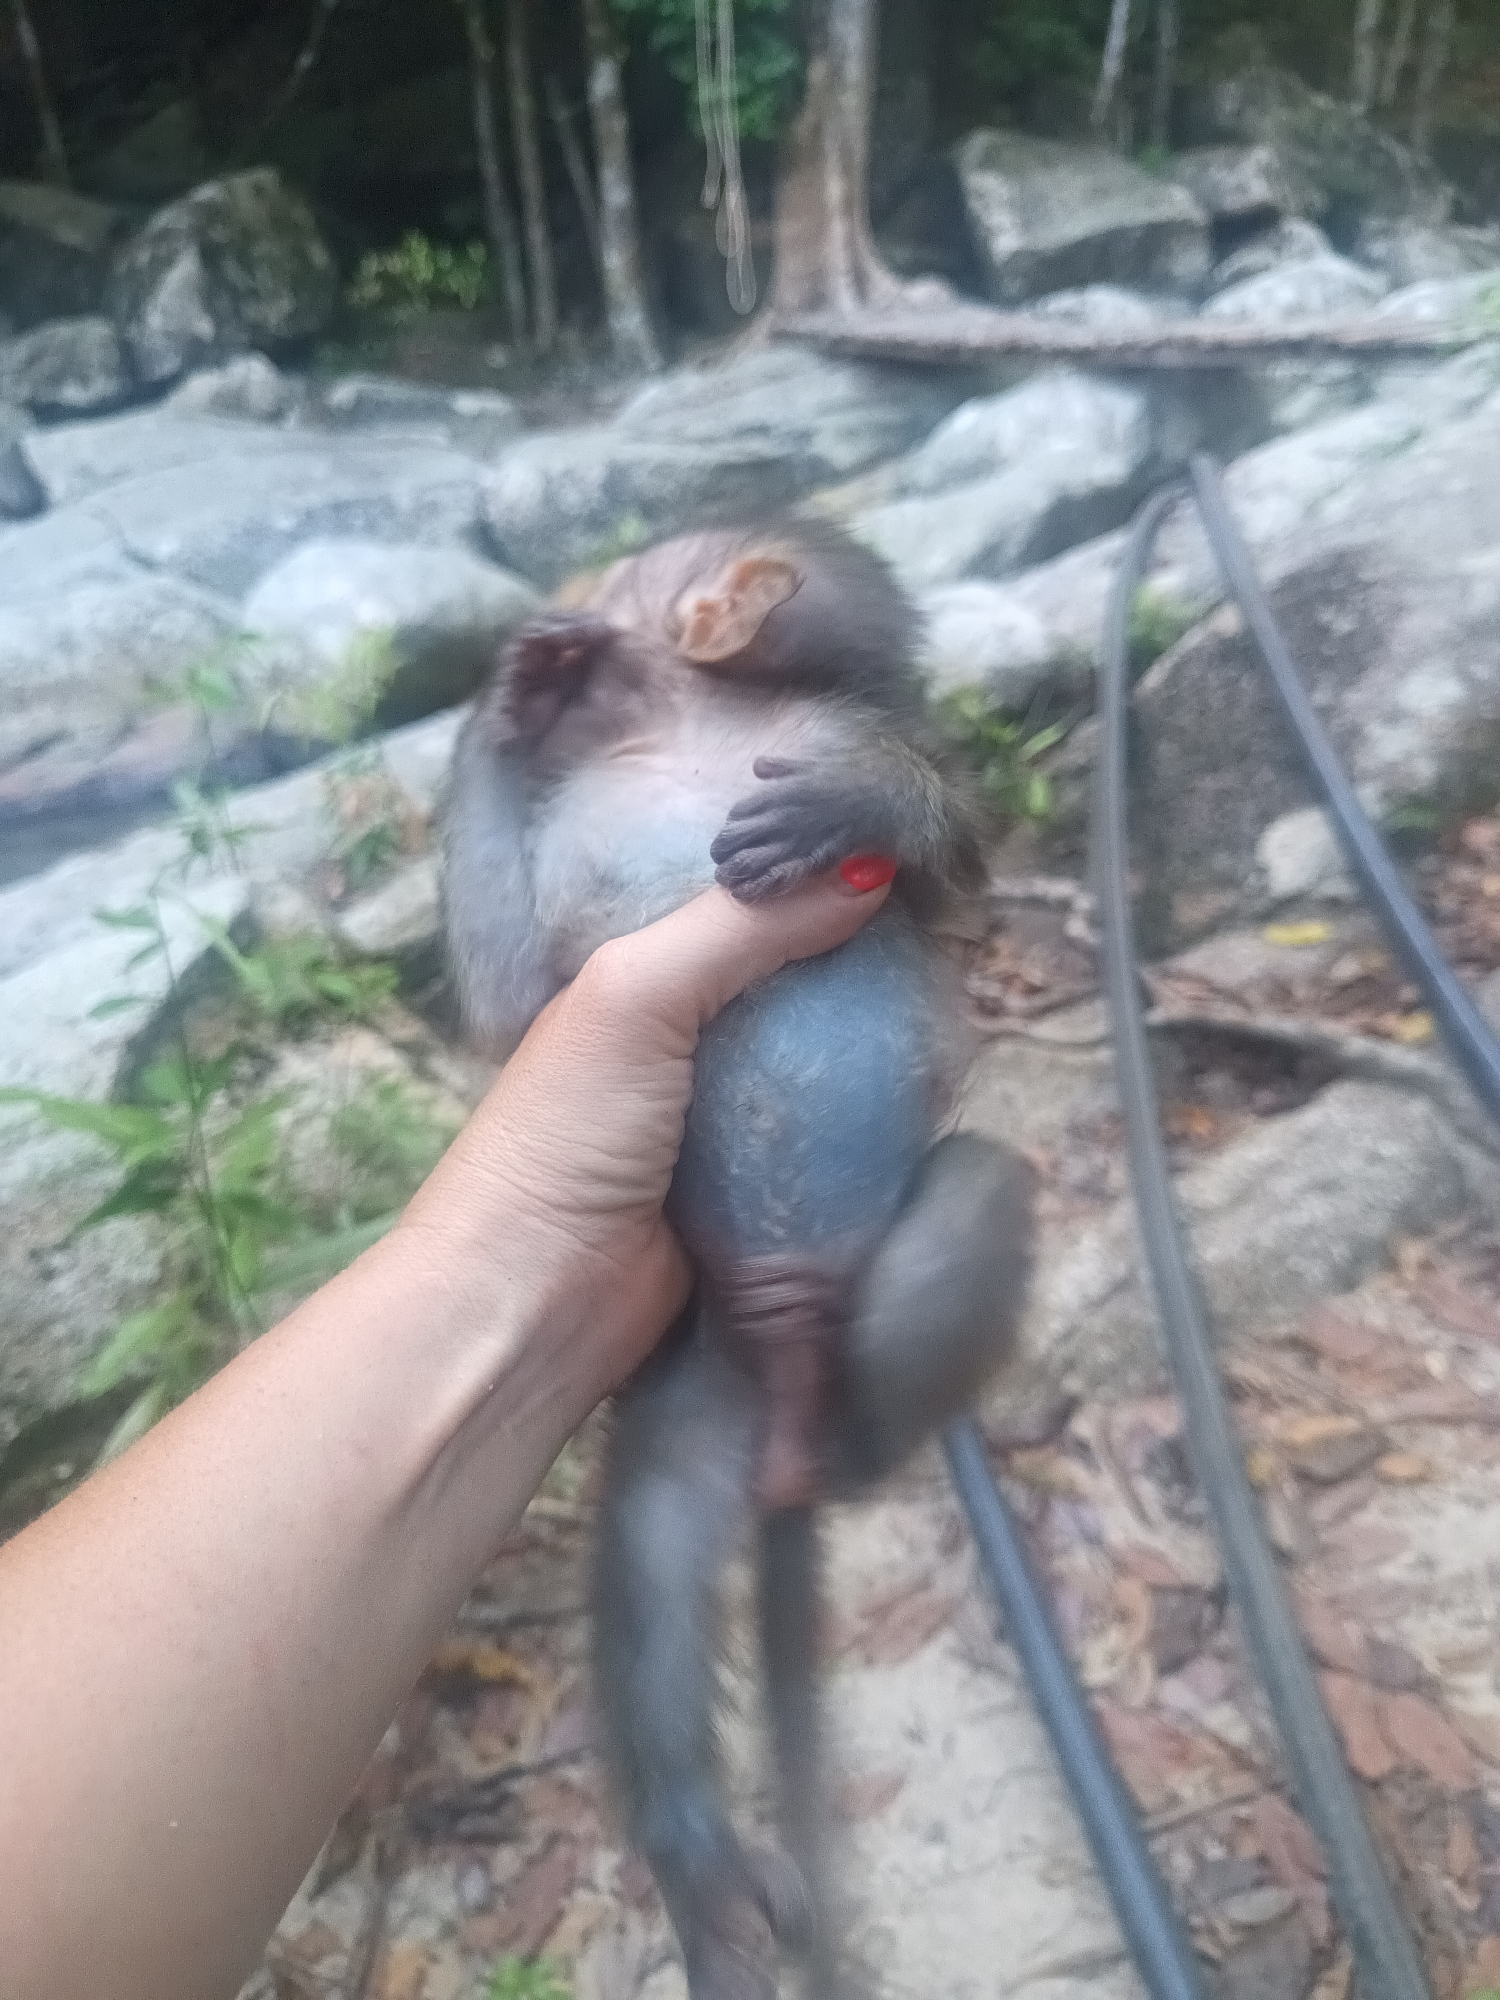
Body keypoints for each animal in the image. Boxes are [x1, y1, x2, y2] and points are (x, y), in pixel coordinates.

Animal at [441, 519, 1034, 2000]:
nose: (569, 625)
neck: (685, 725)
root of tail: (776, 1380)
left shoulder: (849, 718)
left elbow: (954, 856)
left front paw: (864, 801)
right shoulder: (545, 958)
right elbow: (510, 1005)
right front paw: (512, 698)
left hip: (850, 1300)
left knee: (976, 1196)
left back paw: (852, 1443)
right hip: (690, 1389)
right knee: (653, 1550)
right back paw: (701, 1870)